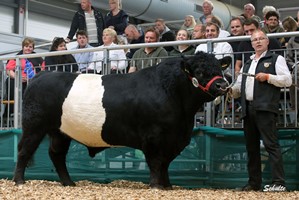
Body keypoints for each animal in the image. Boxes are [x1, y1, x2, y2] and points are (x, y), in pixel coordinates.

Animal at [12, 51, 231, 189]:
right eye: (200, 72)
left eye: (220, 70)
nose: (222, 85)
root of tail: (41, 75)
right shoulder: (153, 135)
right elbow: (156, 162)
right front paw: (155, 186)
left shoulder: (175, 139)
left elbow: (165, 163)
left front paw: (167, 186)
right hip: (34, 126)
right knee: (24, 150)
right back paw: (19, 181)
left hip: (60, 132)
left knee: (56, 155)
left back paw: (69, 183)